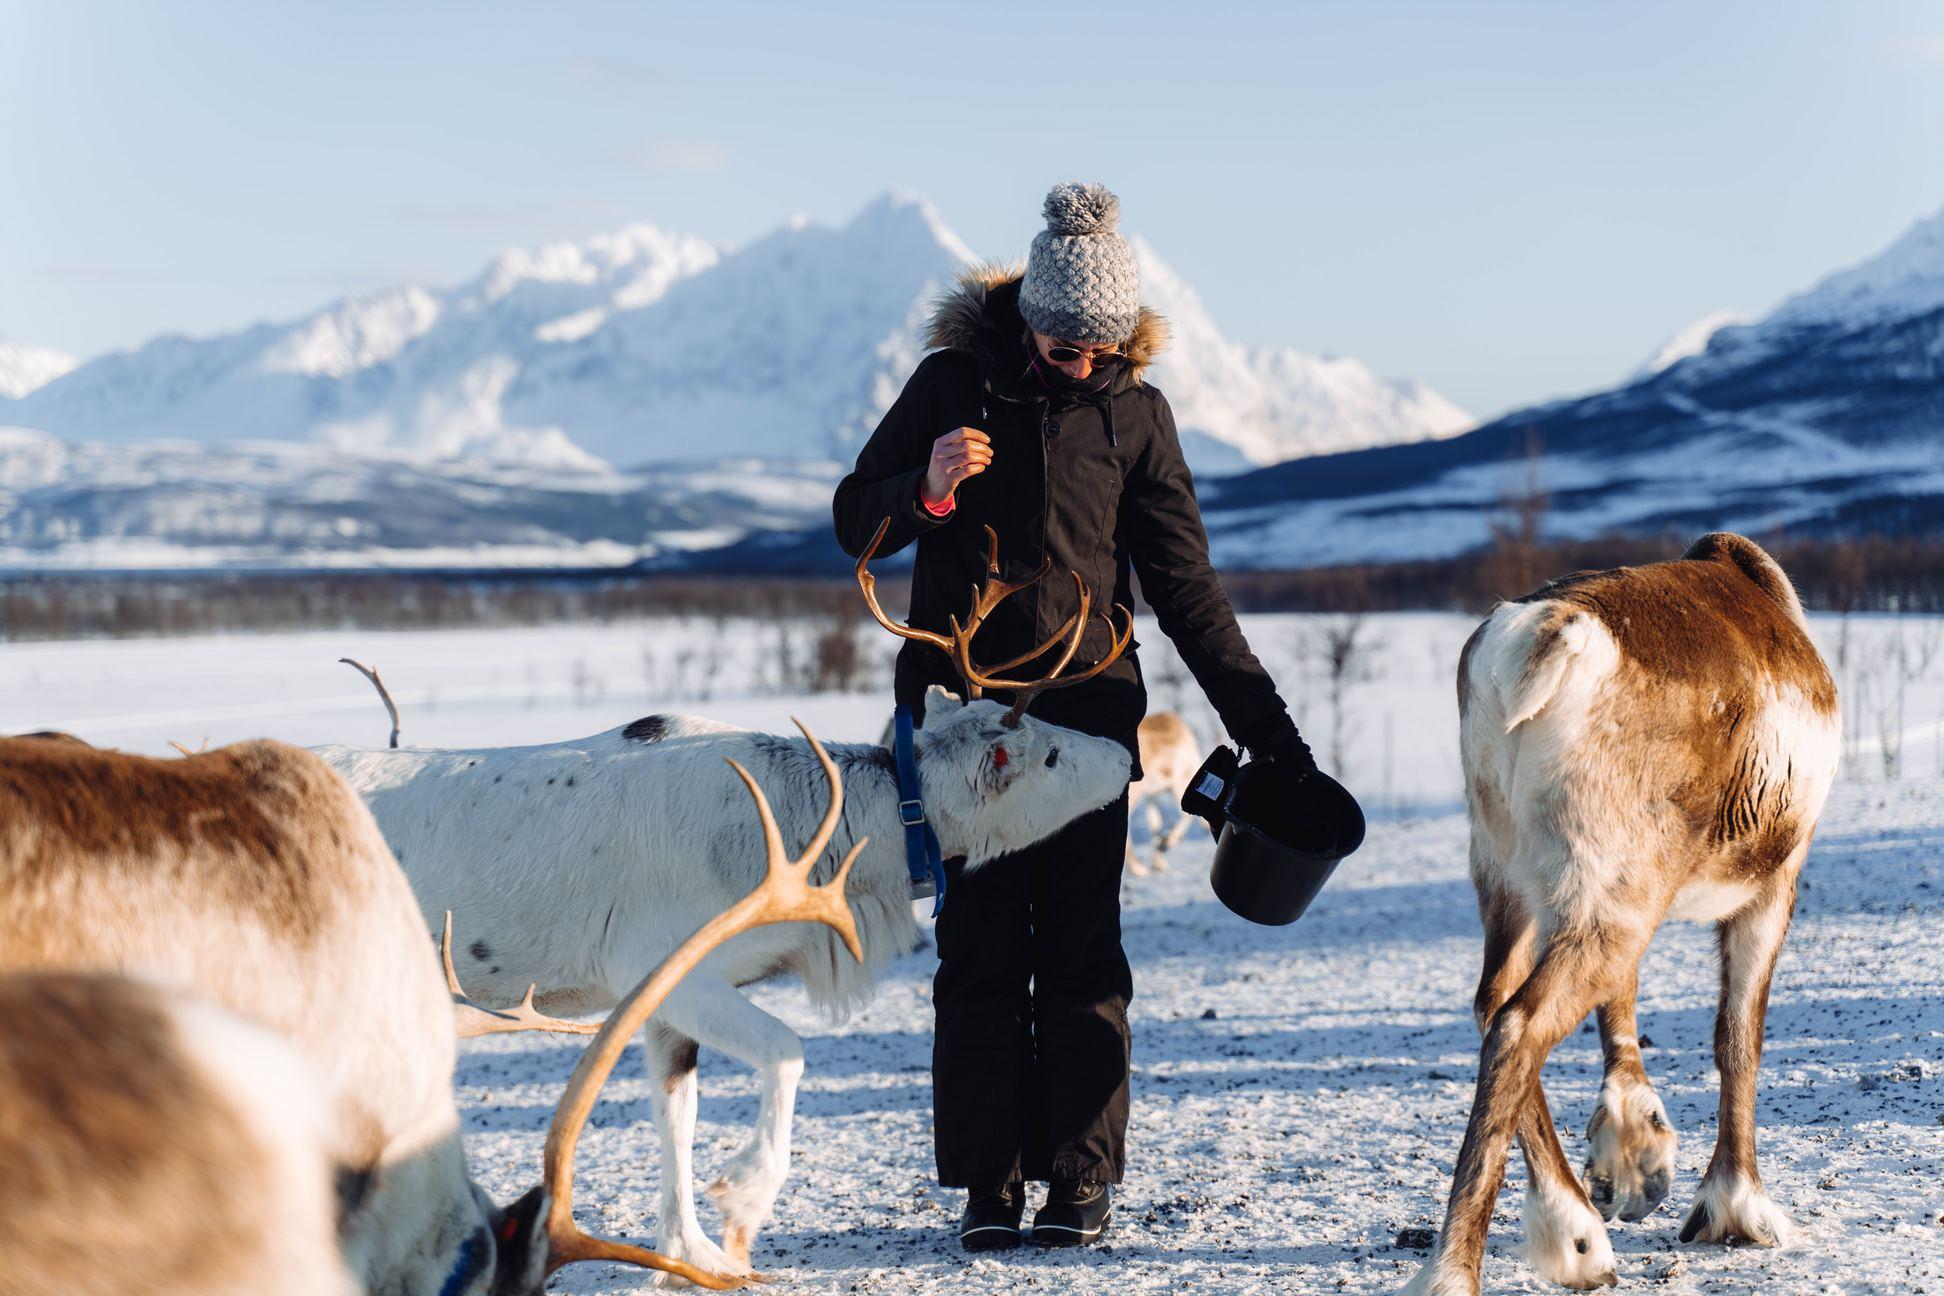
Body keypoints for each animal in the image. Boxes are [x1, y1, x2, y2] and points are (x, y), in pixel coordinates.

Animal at [314, 517, 1137, 1281]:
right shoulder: (666, 967)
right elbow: (786, 1051)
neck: (825, 844)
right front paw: (745, 1195)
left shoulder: (664, 1005)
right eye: (1051, 753)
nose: (1125, 754)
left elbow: (676, 1119)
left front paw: (694, 1252)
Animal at [1398, 533, 1840, 1296]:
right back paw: (1462, 1268)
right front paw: (1736, 1204)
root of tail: (1543, 637)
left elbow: (1625, 1008)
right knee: (1519, 1025)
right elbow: (1738, 1037)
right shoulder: (1775, 882)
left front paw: (1635, 1151)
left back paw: (1577, 1232)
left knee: (1493, 1001)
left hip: (1515, 875)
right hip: (1614, 889)